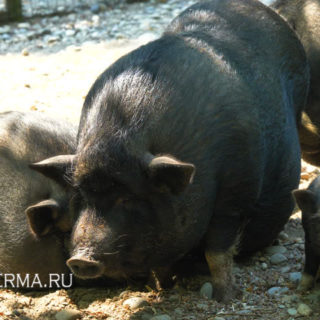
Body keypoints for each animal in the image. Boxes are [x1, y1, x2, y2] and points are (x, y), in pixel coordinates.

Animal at [31, 0, 308, 302]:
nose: (80, 259)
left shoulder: (237, 192)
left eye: (127, 198)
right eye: (80, 196)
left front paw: (223, 298)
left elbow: (217, 252)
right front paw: (162, 288)